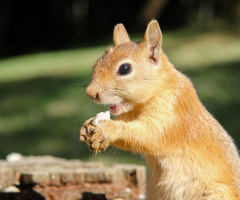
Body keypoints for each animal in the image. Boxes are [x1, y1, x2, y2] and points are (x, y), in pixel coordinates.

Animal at [79, 19, 240, 199]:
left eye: (125, 69)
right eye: (97, 62)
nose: (90, 93)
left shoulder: (174, 107)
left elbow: (153, 134)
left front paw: (108, 130)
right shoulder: (131, 114)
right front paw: (88, 126)